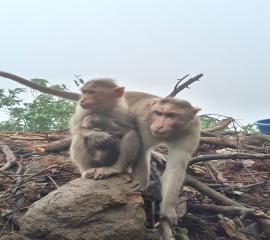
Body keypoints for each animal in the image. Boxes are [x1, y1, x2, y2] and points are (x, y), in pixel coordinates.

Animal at [0, 70, 201, 224]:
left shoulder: (192, 130)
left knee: (130, 137)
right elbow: (141, 148)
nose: (158, 125)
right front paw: (142, 181)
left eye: (170, 115)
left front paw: (168, 208)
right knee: (80, 138)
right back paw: (91, 170)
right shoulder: (145, 120)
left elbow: (176, 167)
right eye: (158, 113)